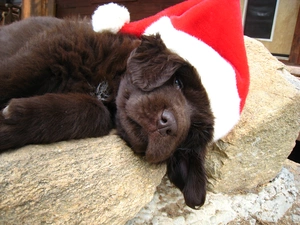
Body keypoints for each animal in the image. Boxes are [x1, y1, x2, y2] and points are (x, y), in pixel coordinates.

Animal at [0, 17, 216, 209]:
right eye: (178, 83)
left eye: (190, 133)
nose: (169, 125)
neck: (103, 87)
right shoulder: (45, 55)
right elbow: (12, 75)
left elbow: (94, 112)